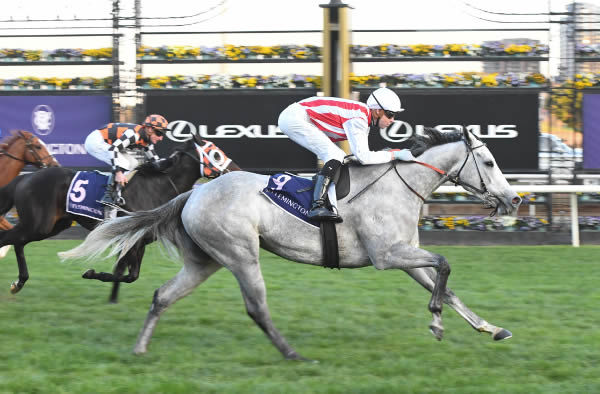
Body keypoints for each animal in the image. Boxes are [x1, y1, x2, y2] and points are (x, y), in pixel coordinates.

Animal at [59, 129, 520, 360]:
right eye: (490, 162)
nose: (514, 199)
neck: (399, 185)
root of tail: (194, 193)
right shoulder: (386, 255)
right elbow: (444, 263)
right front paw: (436, 323)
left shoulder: (404, 256)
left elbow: (447, 283)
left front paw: (490, 328)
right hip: (241, 253)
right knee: (256, 307)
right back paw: (292, 353)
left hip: (205, 261)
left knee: (162, 296)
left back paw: (140, 348)